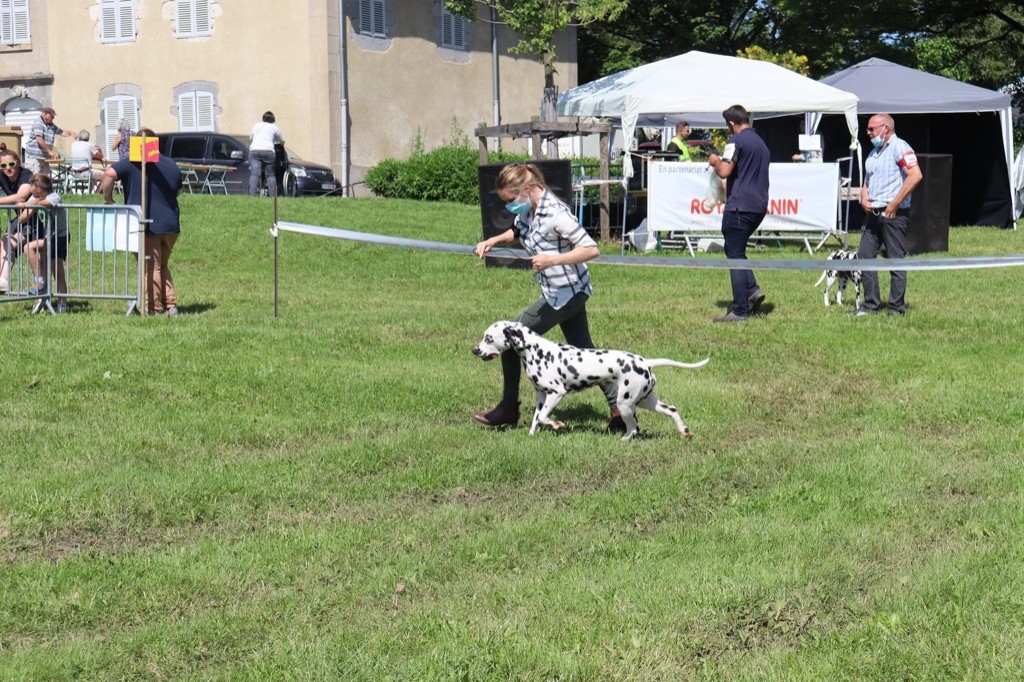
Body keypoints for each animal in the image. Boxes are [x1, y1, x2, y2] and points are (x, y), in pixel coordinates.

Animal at [473, 321, 709, 440]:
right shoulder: (541, 395)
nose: (474, 350)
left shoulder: (556, 393)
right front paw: (532, 435)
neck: (535, 350)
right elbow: (536, 418)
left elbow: (545, 417)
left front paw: (558, 425)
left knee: (633, 428)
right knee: (672, 409)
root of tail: (644, 361)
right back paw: (684, 431)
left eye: (488, 338)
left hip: (626, 403)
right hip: (645, 401)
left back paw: (624, 439)